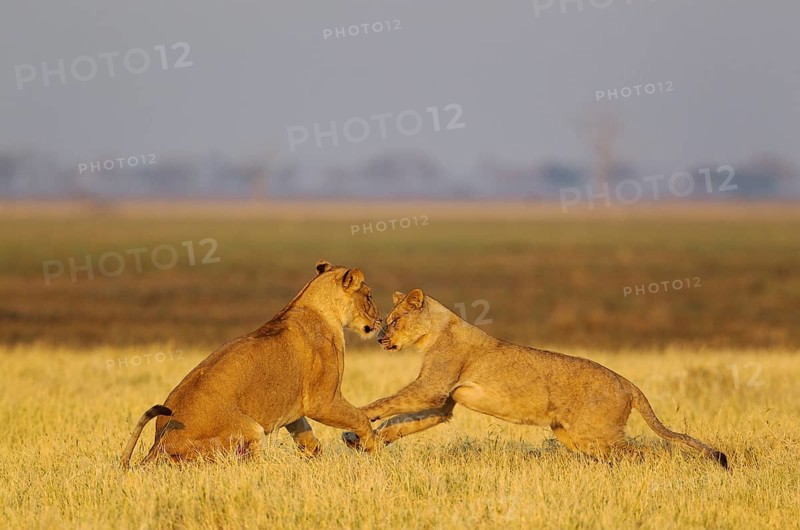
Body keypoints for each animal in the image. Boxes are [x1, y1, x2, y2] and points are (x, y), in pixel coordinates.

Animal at [120, 259, 382, 468]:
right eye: (369, 296)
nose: (380, 320)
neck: (321, 308)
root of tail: (161, 444)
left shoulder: (296, 410)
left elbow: (307, 439)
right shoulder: (323, 401)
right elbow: (360, 419)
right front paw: (375, 451)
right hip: (251, 430)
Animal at [344, 289, 728, 469]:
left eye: (394, 320)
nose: (379, 339)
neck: (437, 330)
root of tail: (627, 382)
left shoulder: (432, 388)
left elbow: (389, 402)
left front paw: (360, 420)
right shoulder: (443, 403)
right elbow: (404, 422)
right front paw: (367, 440)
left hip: (597, 433)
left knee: (644, 454)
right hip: (577, 436)